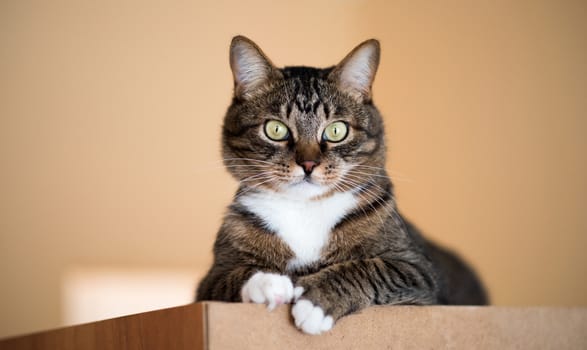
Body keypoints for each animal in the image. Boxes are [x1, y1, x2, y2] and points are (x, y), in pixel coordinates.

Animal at [196, 35, 486, 334]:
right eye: (276, 129)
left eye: (336, 131)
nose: (308, 164)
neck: (305, 210)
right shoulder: (208, 283)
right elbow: (228, 278)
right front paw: (267, 281)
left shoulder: (419, 273)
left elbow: (371, 268)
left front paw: (316, 301)